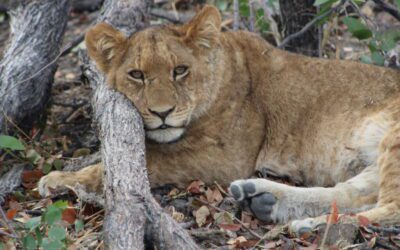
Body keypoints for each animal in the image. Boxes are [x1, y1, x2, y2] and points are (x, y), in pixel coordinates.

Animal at [38, 4, 400, 233]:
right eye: (136, 75)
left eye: (180, 70)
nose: (162, 112)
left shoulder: (226, 157)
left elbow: (153, 159)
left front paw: (58, 179)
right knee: (356, 193)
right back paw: (266, 200)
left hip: (394, 139)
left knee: (390, 209)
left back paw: (311, 225)